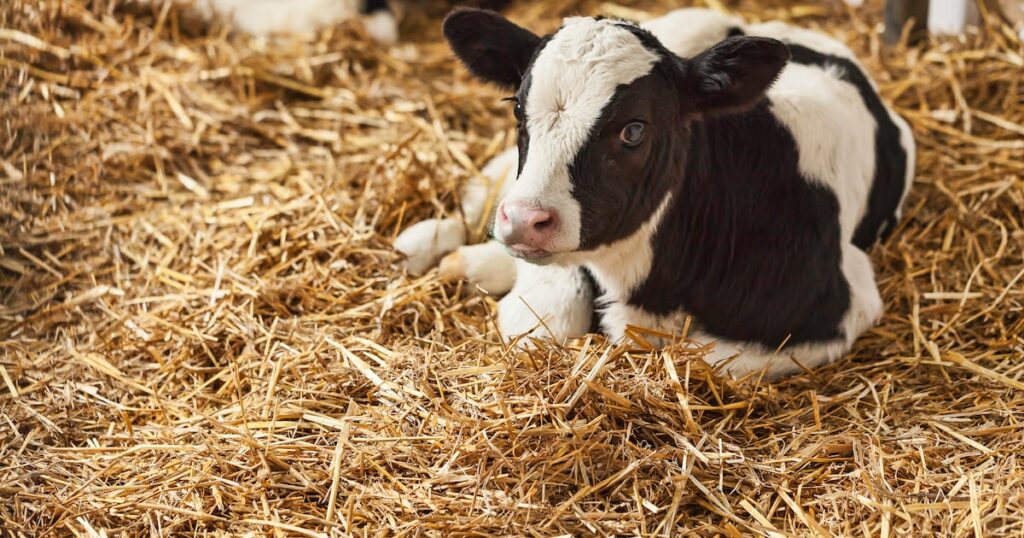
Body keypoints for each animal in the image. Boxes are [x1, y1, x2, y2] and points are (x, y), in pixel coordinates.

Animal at [396, 8, 915, 380]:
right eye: (518, 109)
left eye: (634, 130)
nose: (524, 219)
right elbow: (544, 318)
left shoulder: (845, 302)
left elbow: (703, 360)